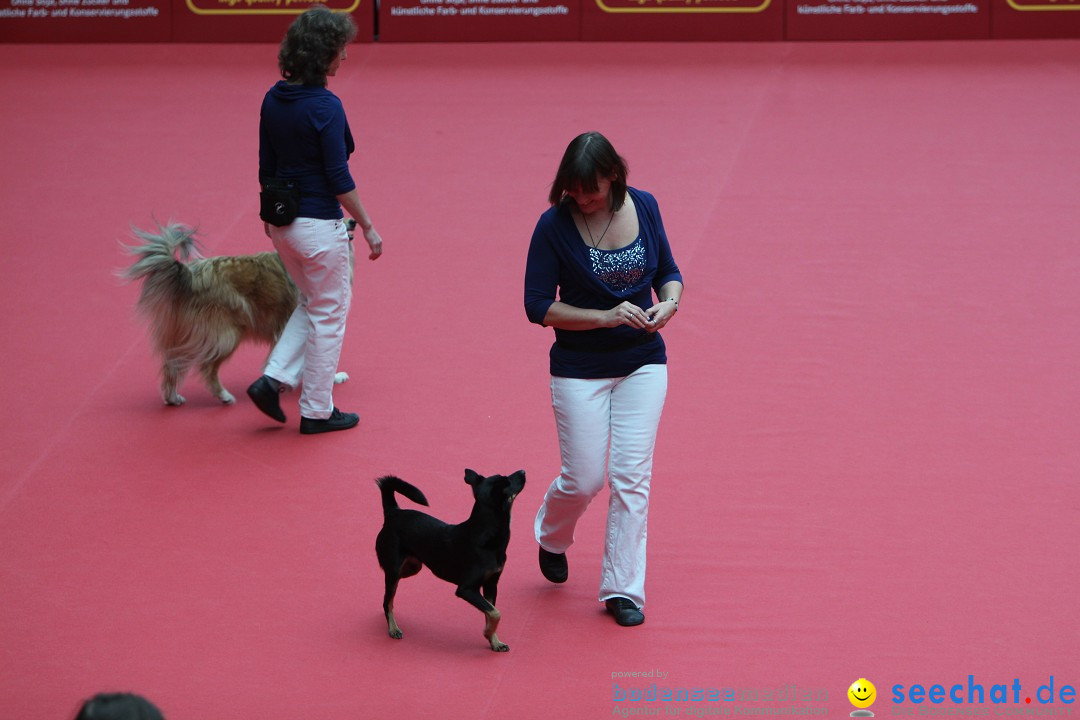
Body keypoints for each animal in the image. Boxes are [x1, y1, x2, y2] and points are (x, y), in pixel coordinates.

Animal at [122, 222, 349, 408]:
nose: (352, 223)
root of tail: (190, 276)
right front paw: (332, 378)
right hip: (226, 336)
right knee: (205, 367)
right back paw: (223, 396)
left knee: (173, 362)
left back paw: (172, 397)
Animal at [378, 470, 524, 651]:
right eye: (508, 481)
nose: (523, 471)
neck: (486, 537)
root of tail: (393, 512)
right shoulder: (466, 589)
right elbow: (495, 613)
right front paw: (488, 633)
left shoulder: (491, 585)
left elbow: (490, 612)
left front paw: (494, 640)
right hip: (394, 570)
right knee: (388, 600)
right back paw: (393, 628)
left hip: (412, 567)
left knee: (387, 597)